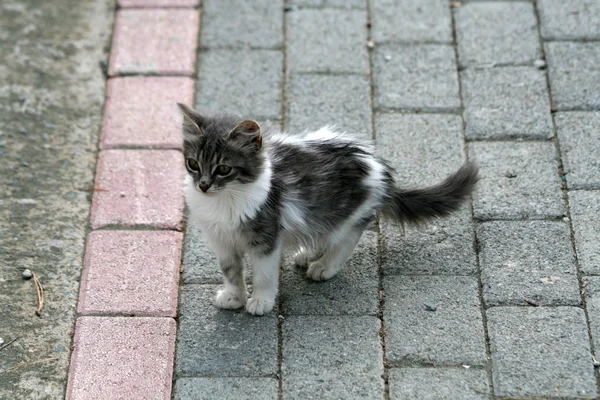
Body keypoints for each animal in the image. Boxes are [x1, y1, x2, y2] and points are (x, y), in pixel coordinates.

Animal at [178, 104, 478, 318]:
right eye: (193, 164)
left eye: (223, 169)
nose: (203, 185)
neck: (225, 200)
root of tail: (379, 170)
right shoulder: (221, 240)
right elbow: (231, 271)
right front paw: (234, 297)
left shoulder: (266, 237)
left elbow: (264, 273)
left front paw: (260, 300)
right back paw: (305, 253)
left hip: (346, 215)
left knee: (345, 239)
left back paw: (323, 266)